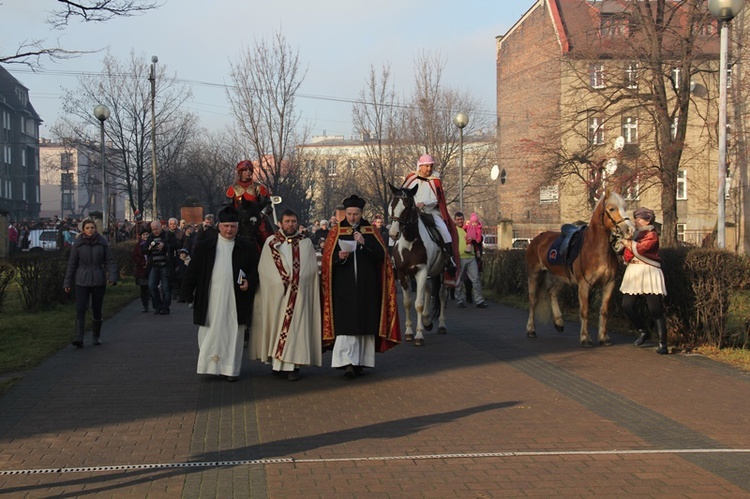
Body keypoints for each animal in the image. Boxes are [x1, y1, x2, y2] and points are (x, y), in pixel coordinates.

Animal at [390, 182, 450, 346]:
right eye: (392, 205)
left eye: (408, 206)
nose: (393, 233)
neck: (410, 242)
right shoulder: (403, 275)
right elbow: (407, 302)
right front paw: (409, 332)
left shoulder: (421, 272)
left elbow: (418, 303)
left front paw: (418, 335)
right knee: (429, 291)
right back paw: (427, 320)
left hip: (443, 272)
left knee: (441, 295)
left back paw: (441, 325)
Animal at [524, 189, 636, 346]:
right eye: (612, 208)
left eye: (625, 207)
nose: (630, 229)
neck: (596, 249)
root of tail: (537, 238)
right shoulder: (584, 285)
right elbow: (584, 311)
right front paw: (585, 338)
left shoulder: (609, 284)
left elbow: (604, 311)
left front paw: (604, 338)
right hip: (534, 274)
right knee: (533, 301)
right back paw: (531, 330)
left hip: (561, 278)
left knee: (552, 293)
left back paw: (559, 323)